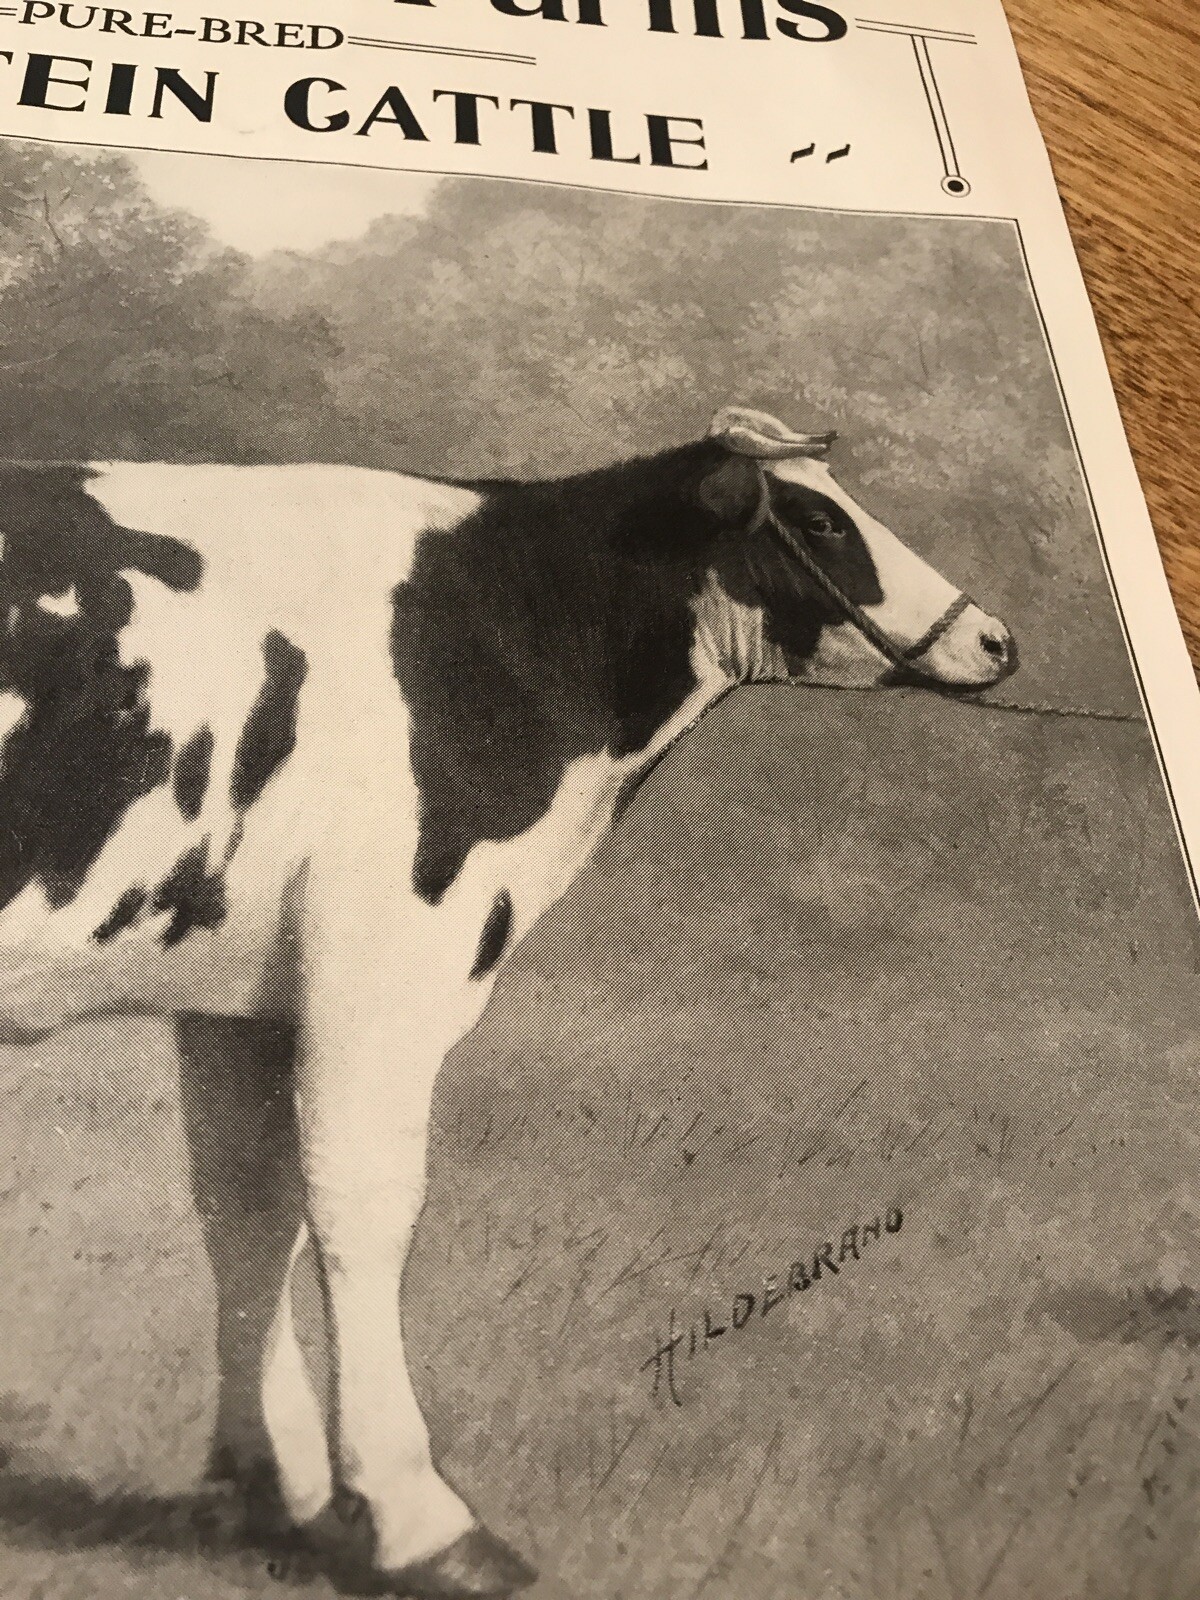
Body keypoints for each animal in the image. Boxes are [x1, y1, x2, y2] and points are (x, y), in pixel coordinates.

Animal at [0, 407, 1015, 1598]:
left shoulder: (241, 993)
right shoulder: (384, 962)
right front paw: (418, 1516)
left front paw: (273, 1479)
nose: (994, 638)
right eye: (818, 519)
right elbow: (362, 1213)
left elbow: (250, 1213)